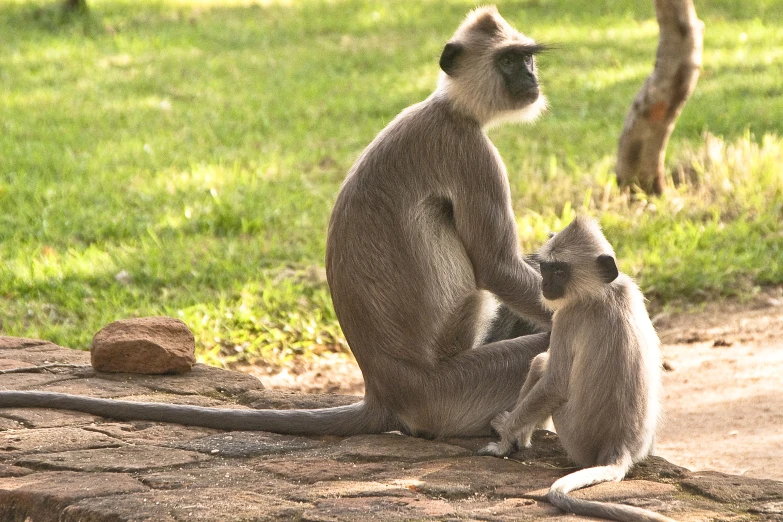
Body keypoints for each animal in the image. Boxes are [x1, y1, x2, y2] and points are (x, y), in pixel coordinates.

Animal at [0, 7, 556, 438]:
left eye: (527, 57)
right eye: (510, 61)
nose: (531, 78)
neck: (449, 108)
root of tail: (384, 391)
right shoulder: (470, 152)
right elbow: (497, 266)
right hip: (448, 390)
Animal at [478, 214, 672, 520]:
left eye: (559, 272)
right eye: (546, 268)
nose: (545, 284)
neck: (603, 290)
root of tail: (618, 448)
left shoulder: (568, 315)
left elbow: (555, 384)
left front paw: (504, 439)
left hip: (574, 437)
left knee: (541, 362)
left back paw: (518, 439)